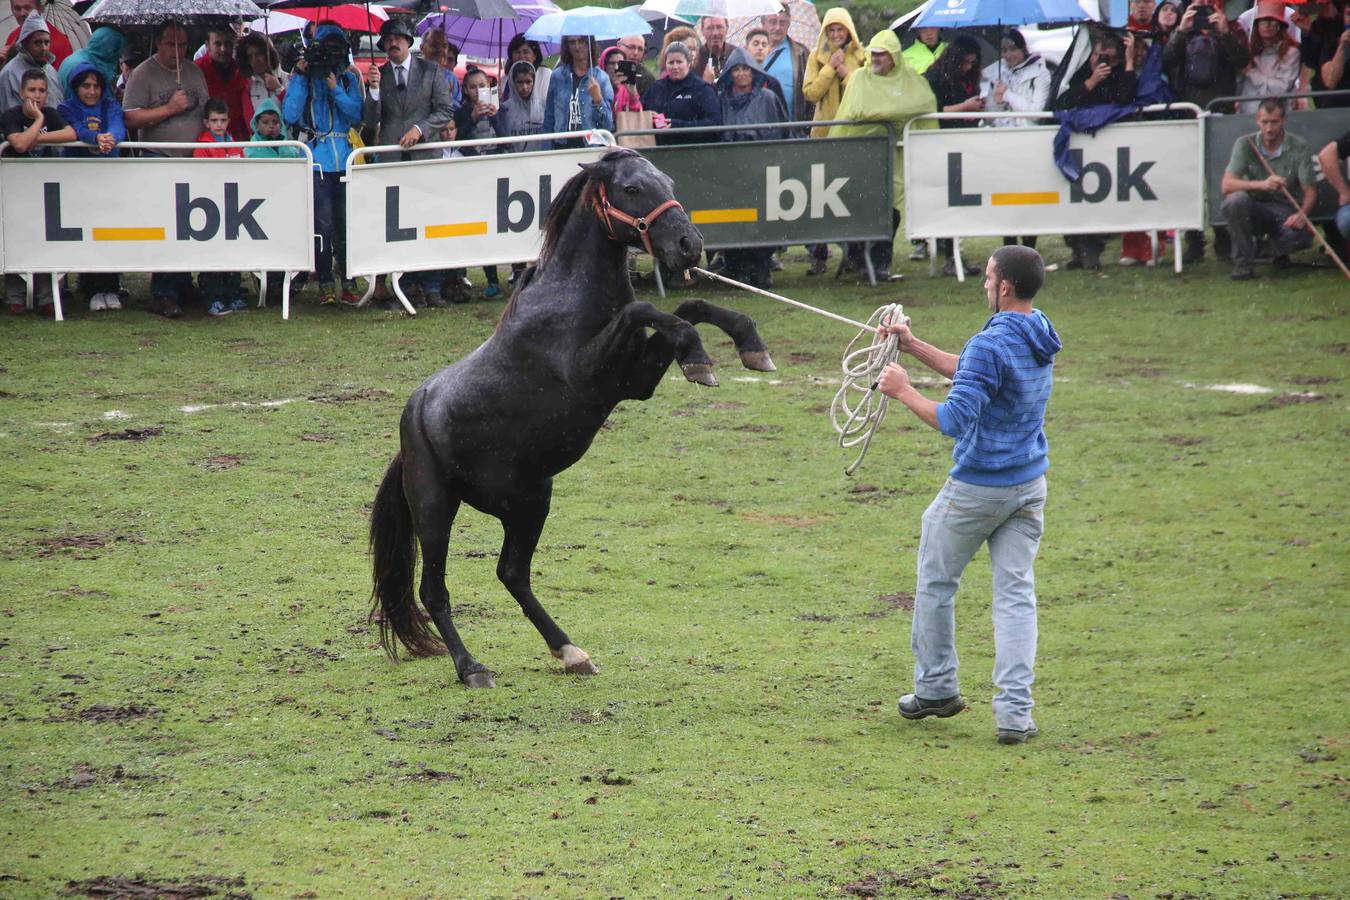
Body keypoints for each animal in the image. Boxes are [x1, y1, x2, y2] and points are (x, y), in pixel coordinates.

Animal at [369, 147, 777, 690]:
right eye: (631, 188)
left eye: (667, 181)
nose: (689, 245)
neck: (569, 298)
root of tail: (411, 424)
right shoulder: (590, 371)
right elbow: (646, 309)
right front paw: (702, 356)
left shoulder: (634, 382)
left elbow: (687, 306)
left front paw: (744, 347)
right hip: (436, 510)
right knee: (435, 590)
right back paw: (472, 668)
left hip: (529, 501)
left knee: (512, 574)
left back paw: (570, 652)